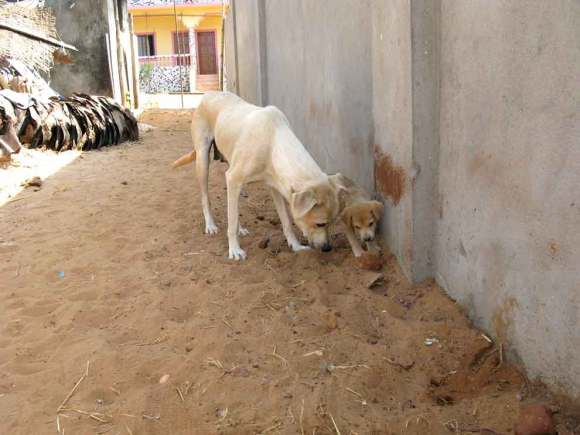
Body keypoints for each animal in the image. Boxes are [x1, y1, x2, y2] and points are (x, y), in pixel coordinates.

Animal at [172, 92, 344, 260]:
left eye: (333, 222)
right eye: (320, 224)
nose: (327, 248)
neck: (273, 140)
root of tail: (208, 94)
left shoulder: (276, 186)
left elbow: (286, 221)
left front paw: (295, 246)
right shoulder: (233, 177)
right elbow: (231, 220)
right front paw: (234, 250)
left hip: (230, 165)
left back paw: (240, 228)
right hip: (203, 160)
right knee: (206, 197)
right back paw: (210, 225)